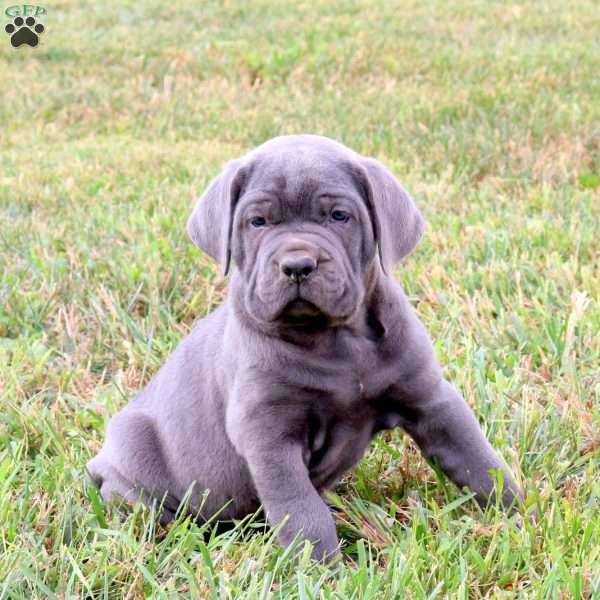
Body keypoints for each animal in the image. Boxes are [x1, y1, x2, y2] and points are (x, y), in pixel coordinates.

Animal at [86, 134, 524, 560]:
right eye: (258, 221)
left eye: (339, 216)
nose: (298, 265)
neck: (338, 339)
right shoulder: (268, 435)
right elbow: (300, 508)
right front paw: (320, 567)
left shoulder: (430, 398)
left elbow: (477, 458)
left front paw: (519, 516)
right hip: (137, 463)